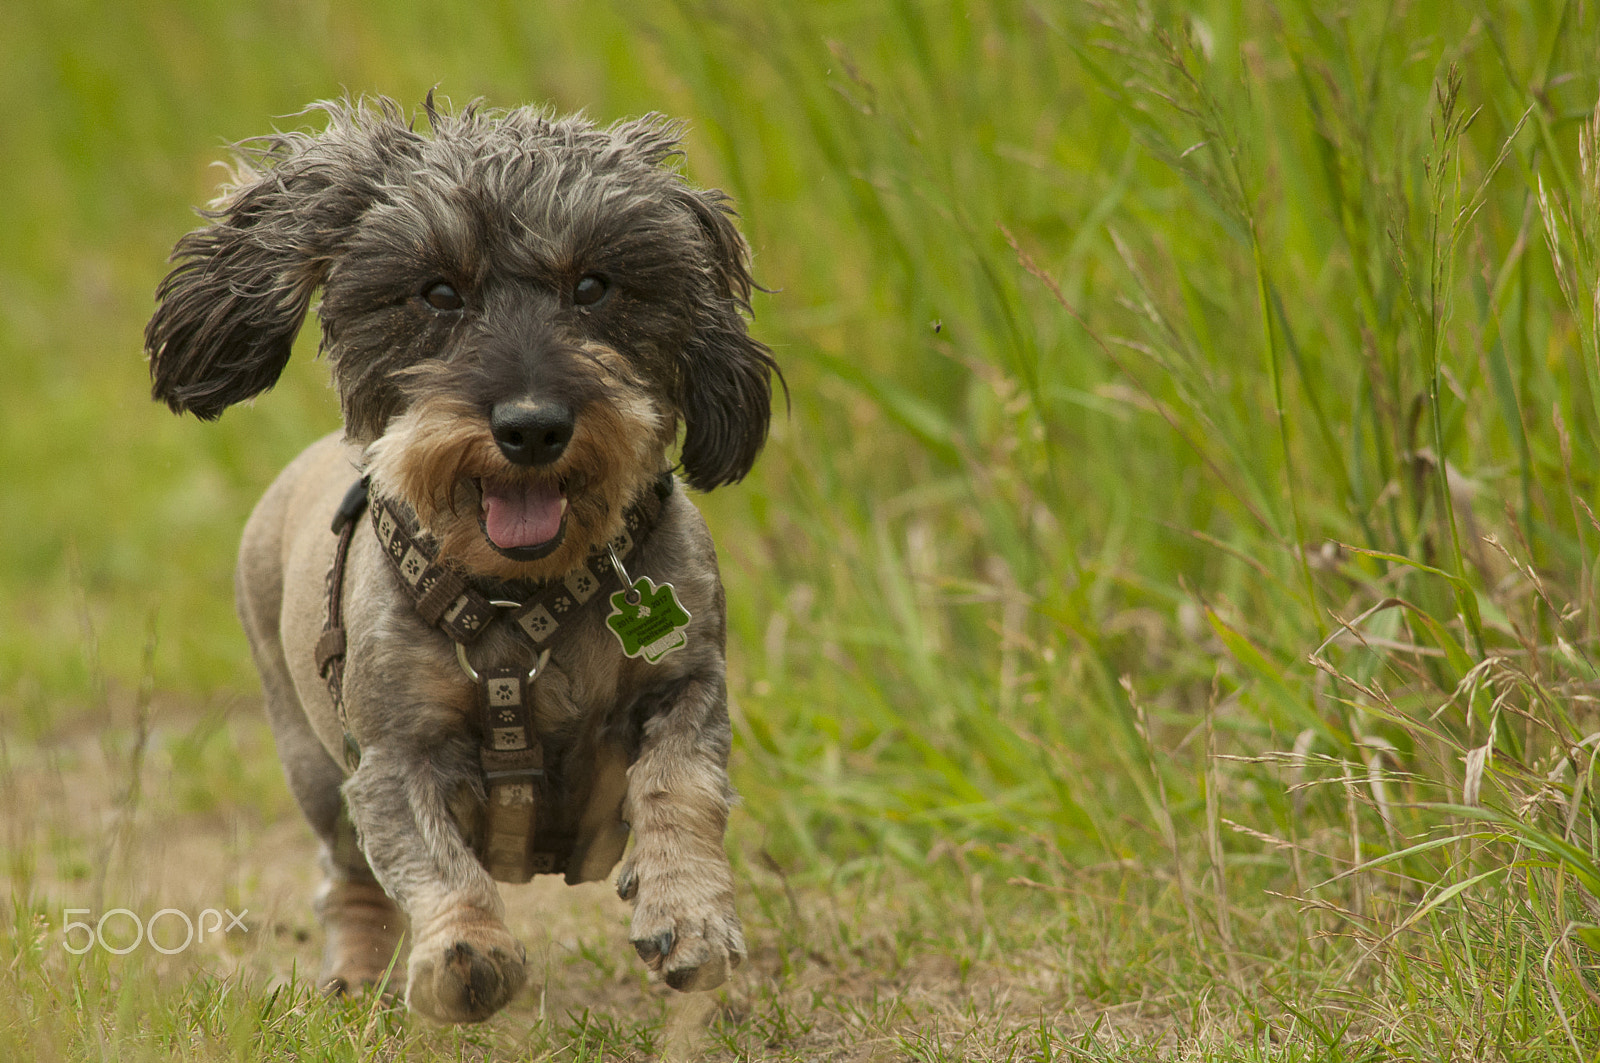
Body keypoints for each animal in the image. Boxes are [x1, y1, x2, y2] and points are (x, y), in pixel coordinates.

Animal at [140, 97, 777, 1024]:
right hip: (311, 763)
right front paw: (466, 951)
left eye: (593, 284)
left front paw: (688, 910)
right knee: (349, 878)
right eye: (439, 291)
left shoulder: (686, 684)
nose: (532, 426)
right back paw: (356, 978)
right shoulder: (395, 753)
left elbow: (678, 784)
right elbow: (433, 859)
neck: (520, 596)